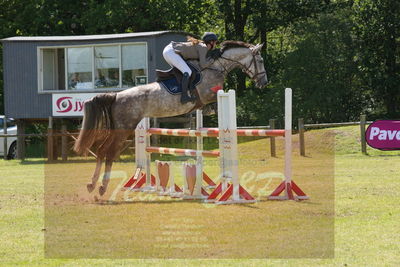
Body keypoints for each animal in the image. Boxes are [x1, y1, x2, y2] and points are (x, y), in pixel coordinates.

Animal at [74, 41, 268, 197]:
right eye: (260, 61)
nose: (264, 83)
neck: (216, 66)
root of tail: (116, 96)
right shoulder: (210, 95)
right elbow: (214, 99)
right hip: (124, 129)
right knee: (108, 154)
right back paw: (102, 187)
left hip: (117, 129)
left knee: (100, 151)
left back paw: (92, 185)